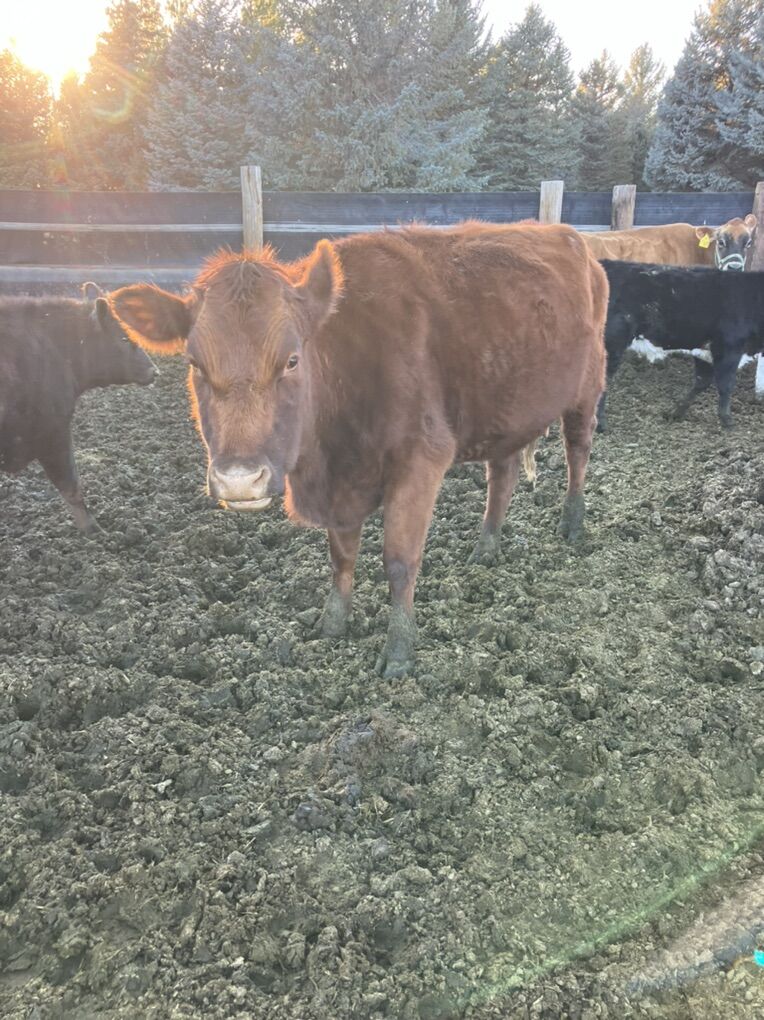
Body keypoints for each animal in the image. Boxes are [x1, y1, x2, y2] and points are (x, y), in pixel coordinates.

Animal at [109, 222, 607, 678]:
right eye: (195, 364)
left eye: (291, 359)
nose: (239, 479)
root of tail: (570, 236)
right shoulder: (340, 487)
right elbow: (340, 556)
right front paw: (333, 623)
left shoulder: (420, 461)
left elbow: (400, 562)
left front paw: (399, 650)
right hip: (506, 409)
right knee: (502, 476)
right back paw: (486, 547)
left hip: (587, 389)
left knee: (578, 452)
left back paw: (572, 522)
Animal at [597, 260, 764, 431]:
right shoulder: (729, 348)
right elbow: (726, 385)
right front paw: (727, 421)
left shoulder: (704, 351)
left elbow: (701, 382)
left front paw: (676, 412)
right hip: (612, 344)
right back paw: (601, 424)